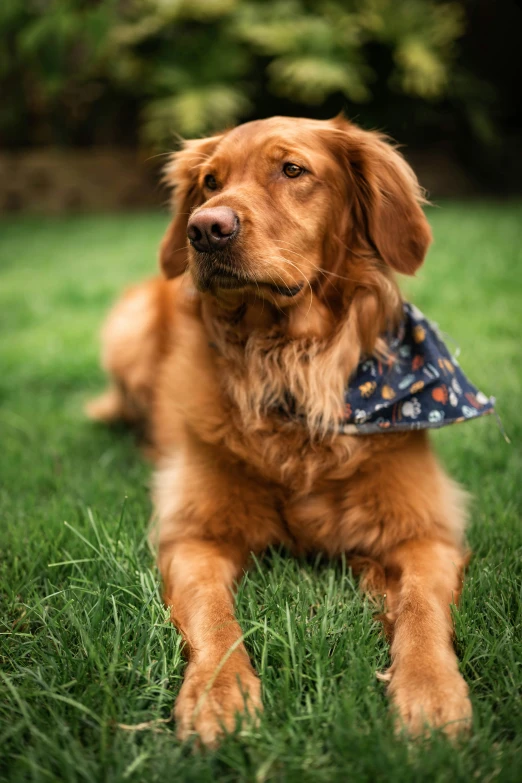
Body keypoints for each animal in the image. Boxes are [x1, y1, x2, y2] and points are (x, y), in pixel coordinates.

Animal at [88, 113, 488, 744]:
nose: (205, 229)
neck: (289, 367)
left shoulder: (425, 531)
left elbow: (421, 608)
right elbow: (213, 614)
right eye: (209, 181)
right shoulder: (194, 535)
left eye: (292, 170)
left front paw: (429, 691)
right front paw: (219, 694)